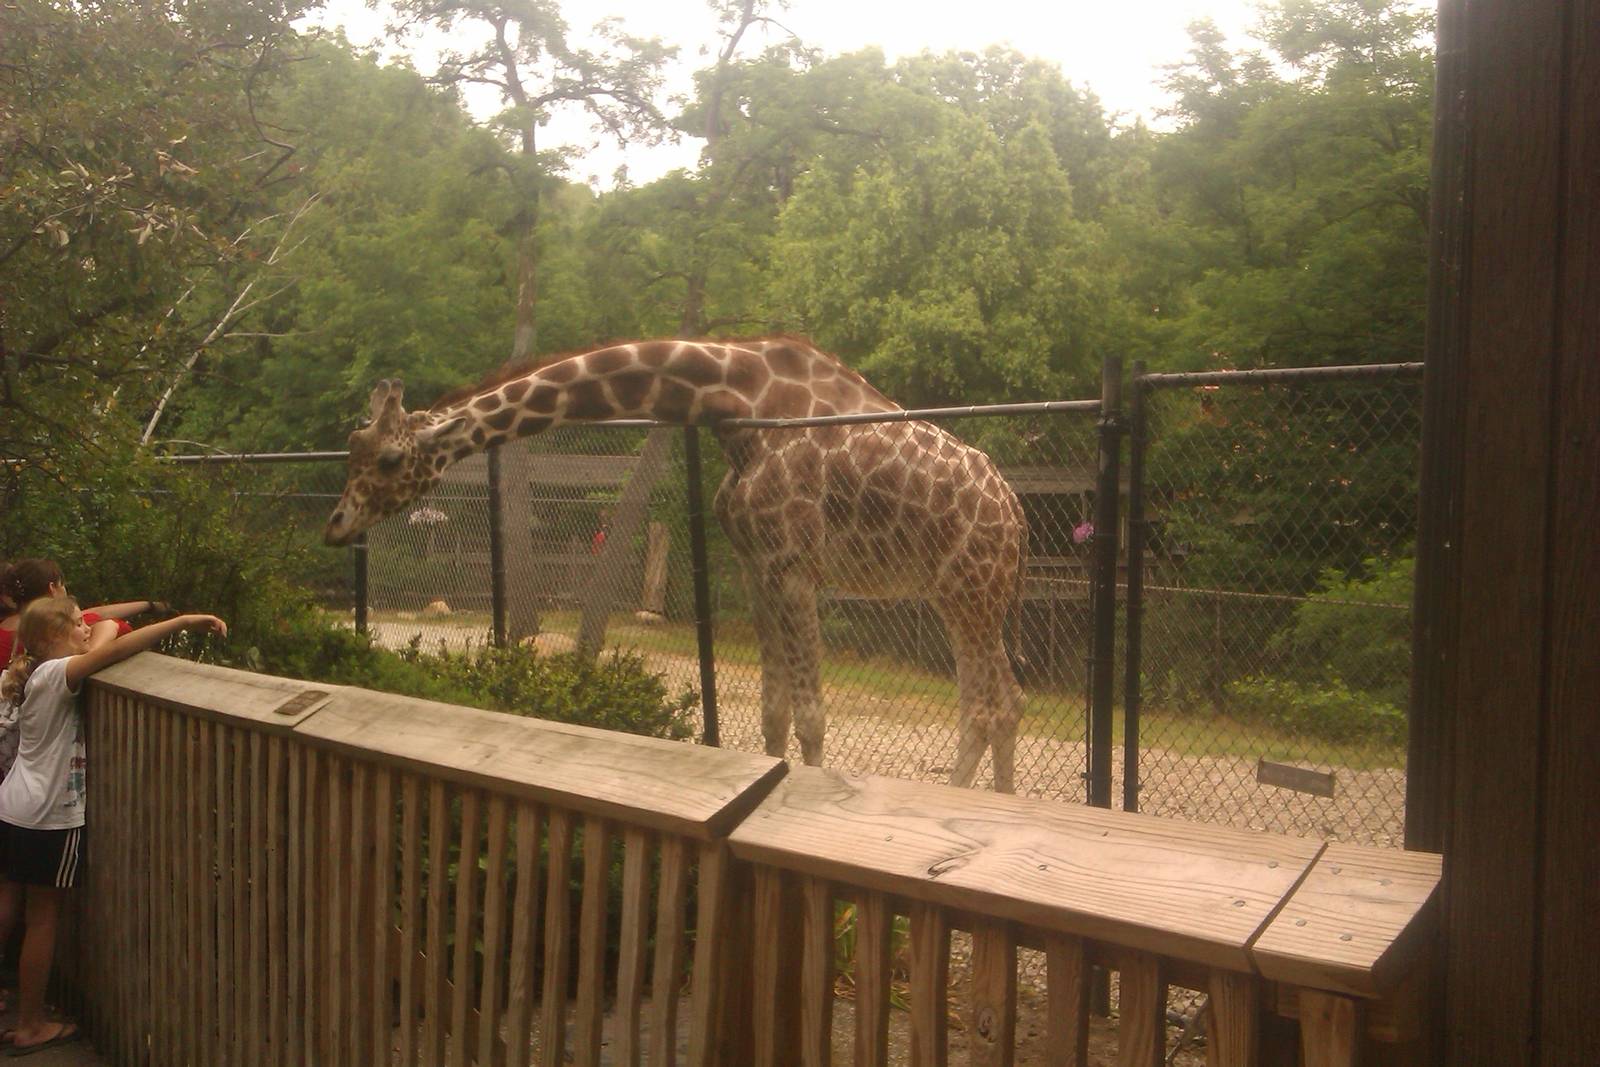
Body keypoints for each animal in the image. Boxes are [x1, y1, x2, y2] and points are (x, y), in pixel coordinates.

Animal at [324, 337, 1029, 792]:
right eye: (350, 448)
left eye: (389, 458)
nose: (336, 525)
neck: (736, 404)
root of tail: (1016, 516)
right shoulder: (755, 566)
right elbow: (774, 716)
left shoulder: (795, 564)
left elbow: (810, 718)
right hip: (957, 593)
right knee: (1005, 699)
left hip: (973, 588)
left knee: (985, 707)